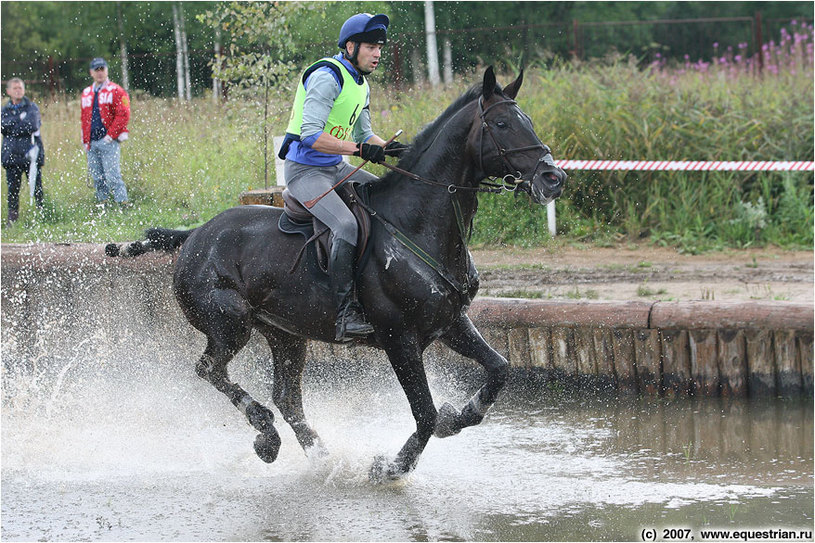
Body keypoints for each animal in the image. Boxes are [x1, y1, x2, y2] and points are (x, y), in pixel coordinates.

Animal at [108, 67, 568, 480]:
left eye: (527, 120)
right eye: (503, 124)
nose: (553, 177)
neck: (418, 223)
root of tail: (194, 234)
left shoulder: (449, 321)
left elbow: (498, 370)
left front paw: (461, 414)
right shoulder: (400, 338)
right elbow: (424, 413)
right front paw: (391, 467)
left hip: (285, 333)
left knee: (287, 398)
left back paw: (320, 456)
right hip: (229, 324)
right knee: (211, 371)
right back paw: (265, 433)